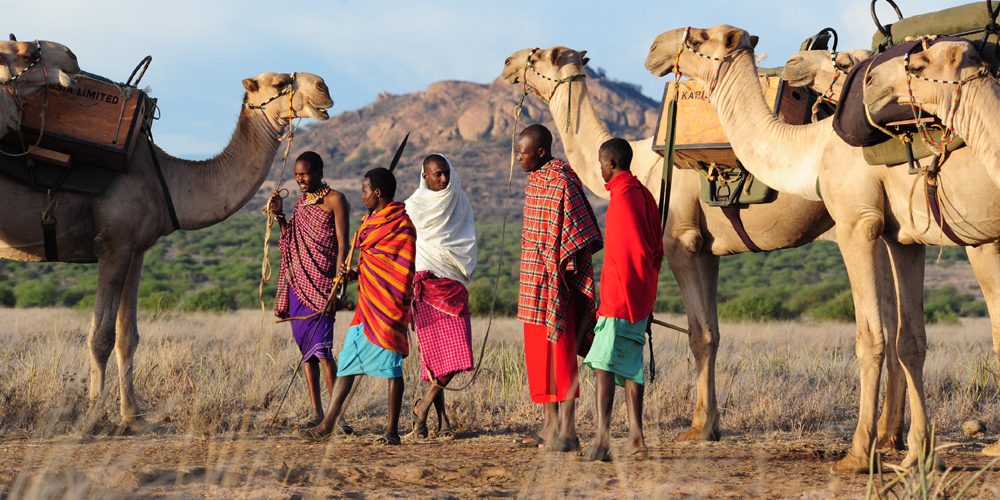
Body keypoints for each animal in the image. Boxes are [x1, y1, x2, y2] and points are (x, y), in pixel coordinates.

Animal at [0, 71, 333, 426]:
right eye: (282, 83)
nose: (323, 88)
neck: (168, 181)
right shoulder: (114, 244)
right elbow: (100, 336)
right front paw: (93, 418)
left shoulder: (135, 249)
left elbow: (127, 336)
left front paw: (133, 416)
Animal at [500, 46, 835, 442]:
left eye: (542, 56)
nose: (508, 63)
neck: (644, 163)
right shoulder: (708, 250)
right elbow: (714, 332)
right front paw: (712, 425)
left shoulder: (681, 241)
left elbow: (699, 334)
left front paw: (698, 429)